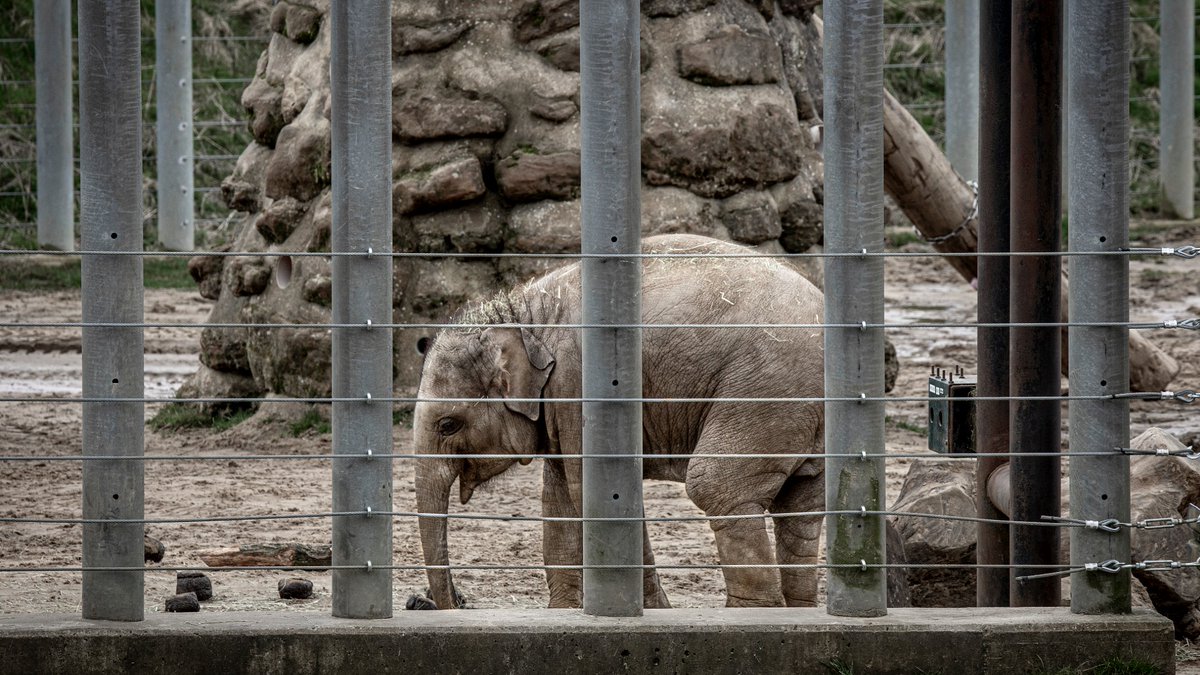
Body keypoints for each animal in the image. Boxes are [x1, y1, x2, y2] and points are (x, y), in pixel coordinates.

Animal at [413, 233, 825, 610]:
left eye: (448, 425)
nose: (453, 603)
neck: (526, 314)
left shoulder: (579, 383)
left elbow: (590, 493)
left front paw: (653, 611)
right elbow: (559, 497)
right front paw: (564, 612)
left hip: (764, 392)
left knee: (717, 486)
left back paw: (749, 613)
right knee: (801, 506)